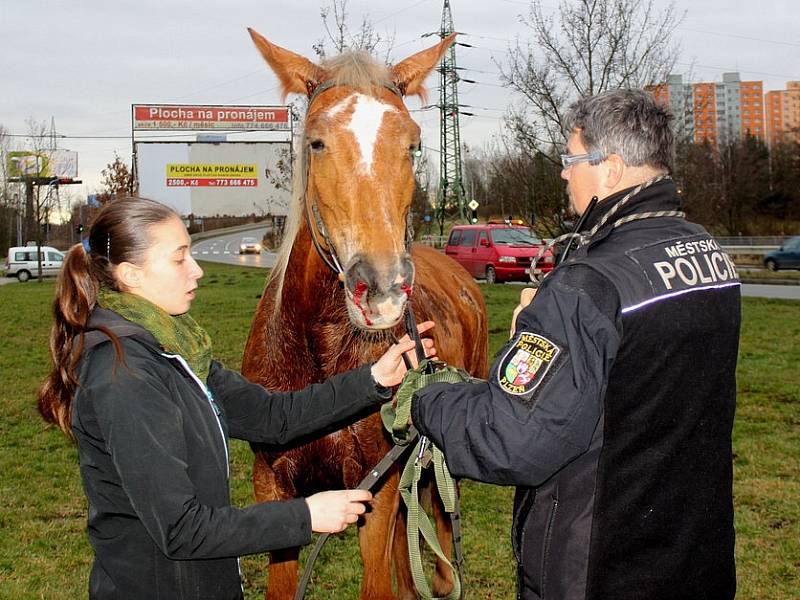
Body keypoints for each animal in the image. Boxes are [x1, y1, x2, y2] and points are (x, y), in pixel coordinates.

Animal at [241, 29, 484, 600]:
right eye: (316, 142)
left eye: (413, 144)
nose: (381, 289)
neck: (320, 351)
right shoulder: (274, 488)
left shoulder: (380, 490)